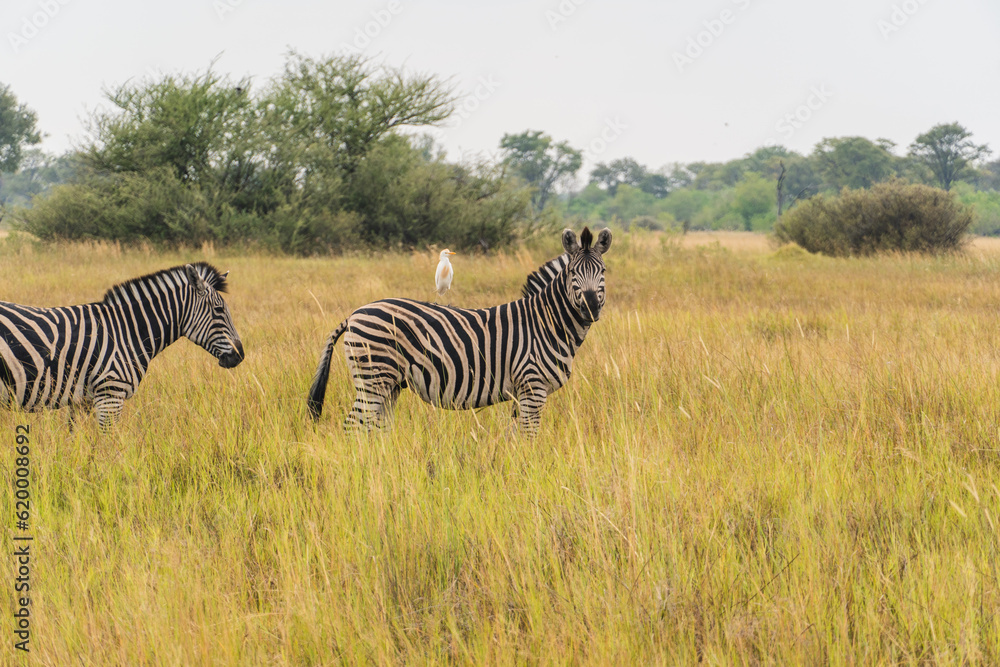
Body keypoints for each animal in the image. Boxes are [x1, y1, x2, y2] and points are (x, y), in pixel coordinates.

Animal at [0, 263, 244, 428]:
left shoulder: (82, 400)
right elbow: (107, 447)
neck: (127, 331)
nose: (240, 355)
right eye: (219, 310)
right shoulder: (110, 394)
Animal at [307, 227, 611, 435]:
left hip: (388, 384)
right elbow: (529, 436)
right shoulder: (532, 387)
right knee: (353, 427)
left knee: (375, 429)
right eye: (573, 272)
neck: (546, 323)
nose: (591, 306)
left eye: (604, 271)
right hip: (373, 378)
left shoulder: (522, 391)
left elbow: (515, 436)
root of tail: (354, 313)